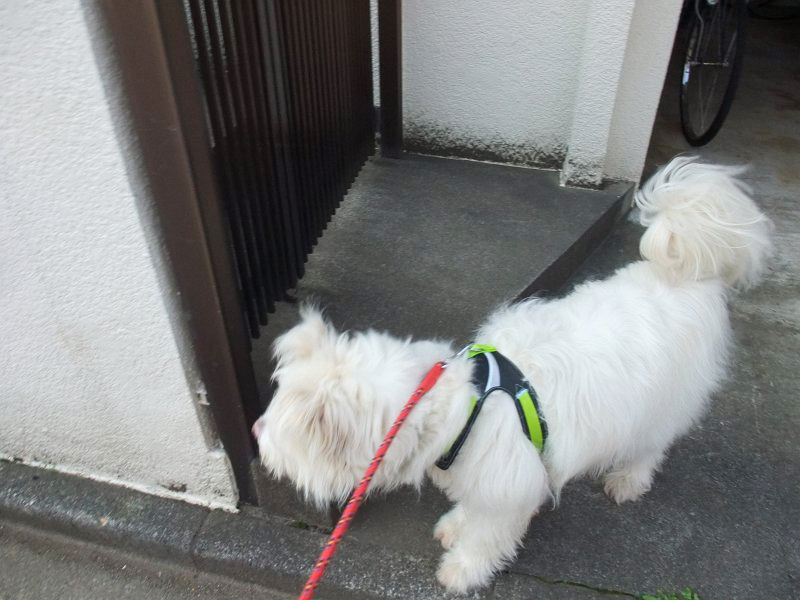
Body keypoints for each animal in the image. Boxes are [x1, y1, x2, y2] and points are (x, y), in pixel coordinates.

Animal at [251, 157, 772, 593]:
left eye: (274, 428)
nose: (253, 428)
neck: (462, 406)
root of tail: (688, 276)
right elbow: (471, 509)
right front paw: (454, 526)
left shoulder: (507, 488)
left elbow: (487, 537)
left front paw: (461, 571)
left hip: (663, 403)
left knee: (652, 446)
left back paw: (628, 480)